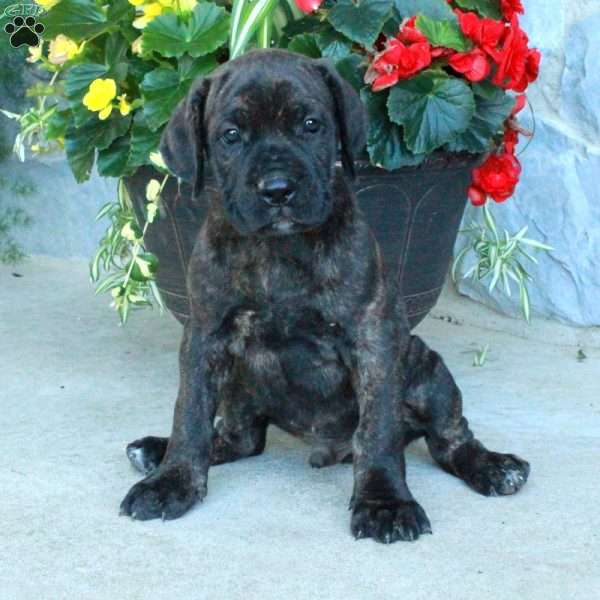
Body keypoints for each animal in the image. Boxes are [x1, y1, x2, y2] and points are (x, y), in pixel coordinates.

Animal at [119, 50, 528, 544]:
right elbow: (190, 413)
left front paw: (385, 502)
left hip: (429, 372)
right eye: (231, 136)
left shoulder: (370, 338)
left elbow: (377, 429)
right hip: (239, 385)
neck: (277, 250)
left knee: (449, 438)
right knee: (238, 437)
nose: (278, 189)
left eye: (311, 125)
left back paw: (492, 467)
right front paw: (171, 480)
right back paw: (155, 451)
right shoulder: (205, 336)